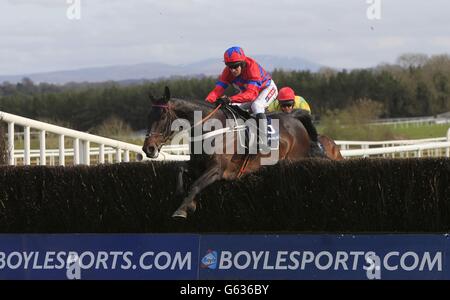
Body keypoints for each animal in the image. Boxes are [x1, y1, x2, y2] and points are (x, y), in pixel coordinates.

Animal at [144, 86, 326, 218]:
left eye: (162, 117)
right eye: (148, 116)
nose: (148, 148)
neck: (210, 128)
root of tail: (294, 117)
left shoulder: (217, 169)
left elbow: (196, 184)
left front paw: (182, 209)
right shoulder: (197, 164)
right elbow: (180, 169)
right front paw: (187, 199)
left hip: (296, 158)